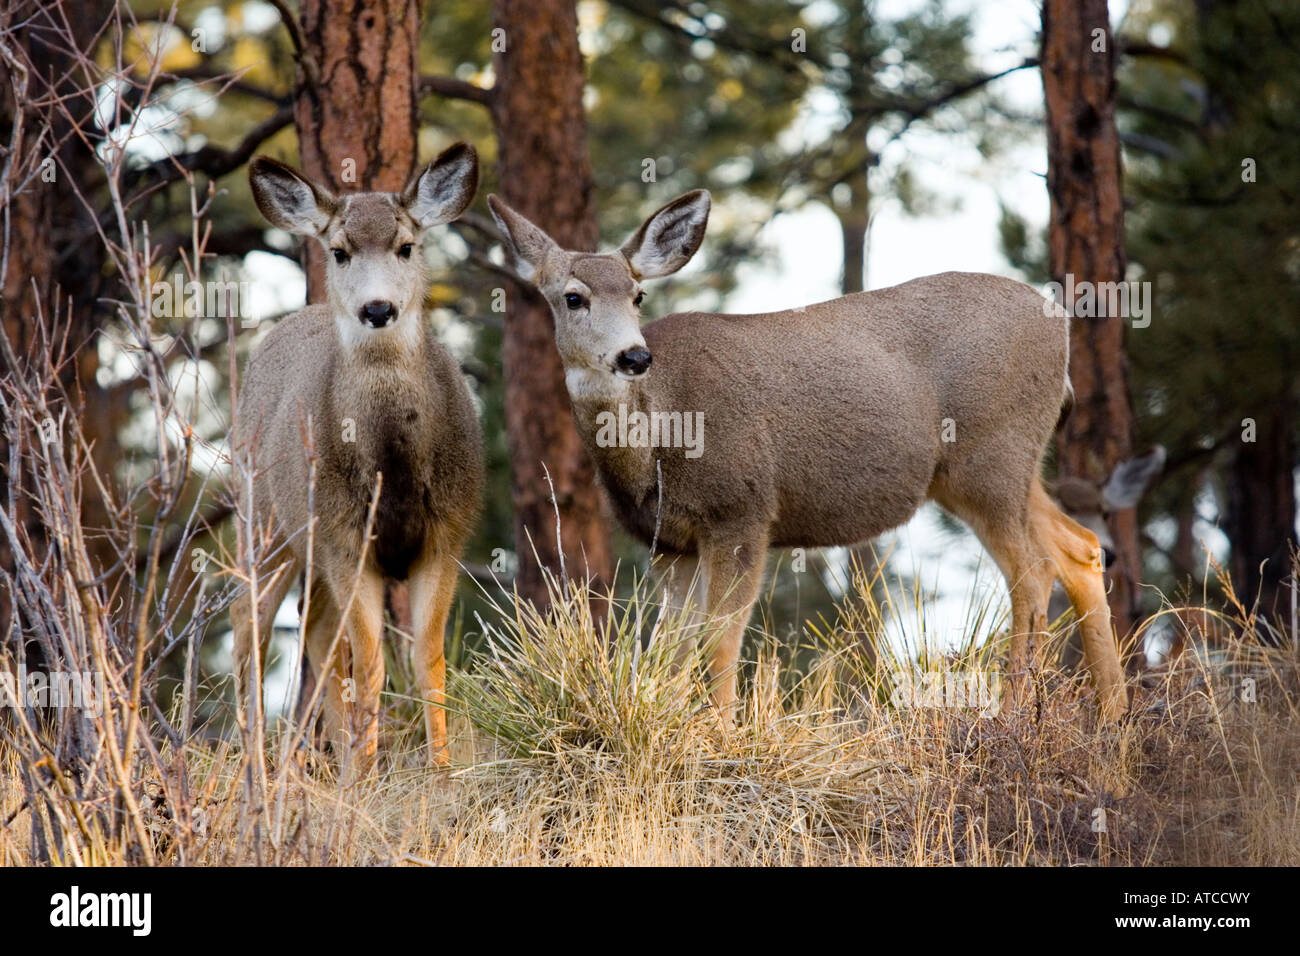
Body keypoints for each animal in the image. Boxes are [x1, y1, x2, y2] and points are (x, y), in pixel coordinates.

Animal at [231, 142, 485, 771]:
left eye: (407, 246)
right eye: (340, 251)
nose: (377, 308)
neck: (392, 463)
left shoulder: (445, 535)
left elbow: (428, 661)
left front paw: (442, 772)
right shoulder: (346, 539)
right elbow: (370, 664)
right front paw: (367, 779)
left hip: (310, 548)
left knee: (316, 629)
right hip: (266, 519)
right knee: (249, 621)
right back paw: (259, 759)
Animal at [487, 189, 1128, 723]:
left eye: (637, 294)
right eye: (573, 297)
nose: (634, 356)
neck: (655, 445)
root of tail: (1059, 328)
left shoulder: (742, 511)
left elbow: (721, 639)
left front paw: (721, 739)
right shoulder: (670, 543)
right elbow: (669, 648)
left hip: (992, 455)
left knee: (1033, 571)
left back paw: (1015, 715)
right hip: (993, 471)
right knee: (1079, 548)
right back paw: (1113, 721)